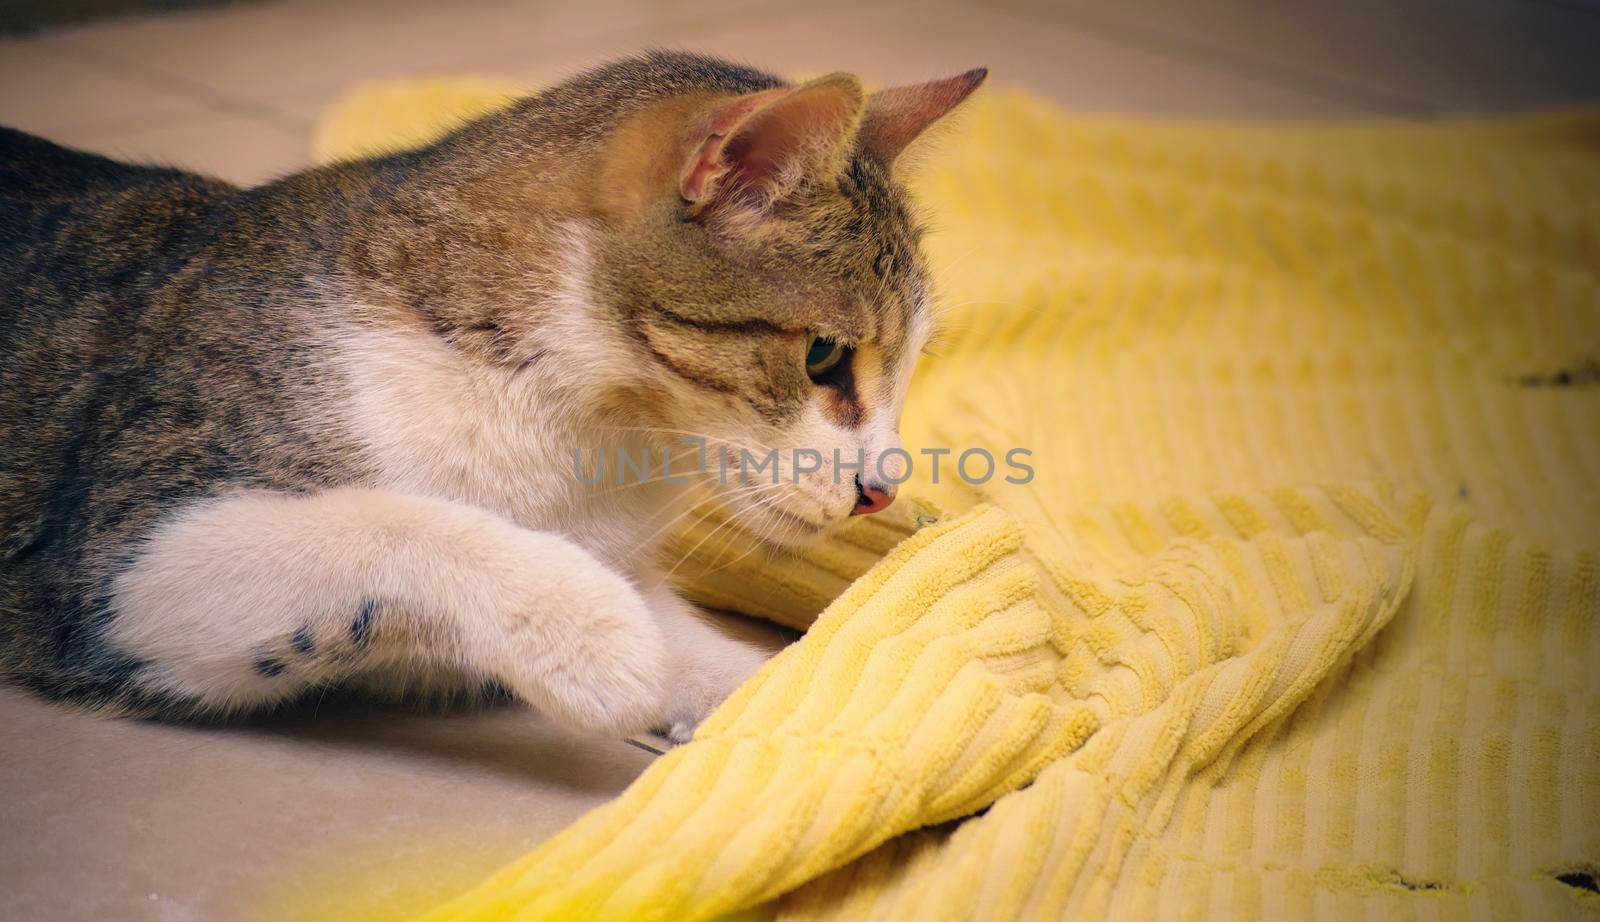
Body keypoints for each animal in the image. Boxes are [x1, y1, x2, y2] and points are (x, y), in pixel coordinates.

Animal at [0, 50, 985, 742]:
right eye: (823, 356)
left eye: (910, 363)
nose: (882, 491)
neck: (587, 439)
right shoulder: (120, 561)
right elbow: (393, 522)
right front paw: (588, 632)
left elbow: (753, 677)